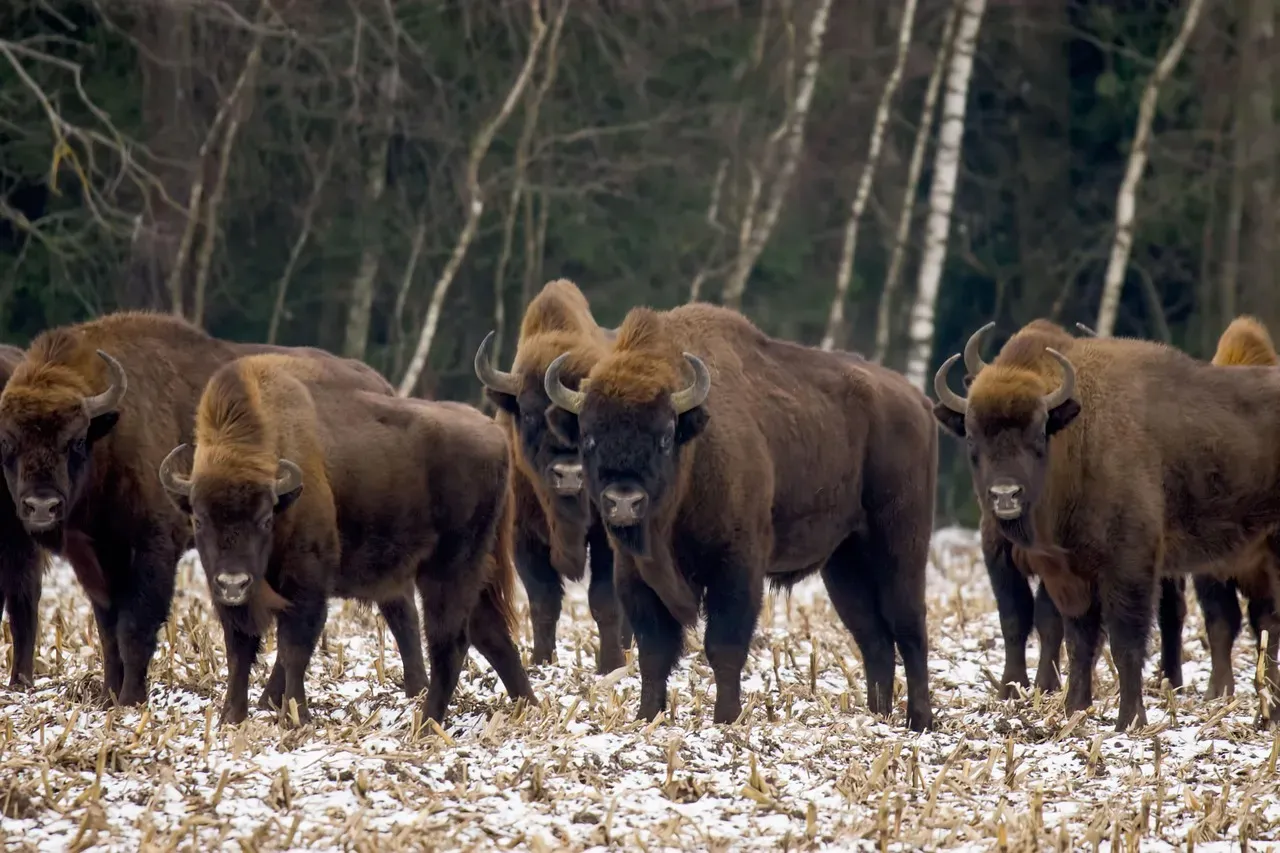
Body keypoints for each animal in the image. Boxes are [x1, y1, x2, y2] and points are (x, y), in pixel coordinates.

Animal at [159, 353, 534, 724]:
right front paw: (231, 718)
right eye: (199, 519)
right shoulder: (229, 596)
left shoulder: (307, 584)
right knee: (490, 633)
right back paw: (525, 705)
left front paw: (297, 717)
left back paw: (427, 724)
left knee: (450, 640)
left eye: (265, 519)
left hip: (449, 568)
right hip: (476, 569)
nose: (233, 583)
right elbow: (239, 650)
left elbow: (293, 649)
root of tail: (495, 434)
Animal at [474, 280, 630, 673]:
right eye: (529, 413)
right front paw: (541, 662)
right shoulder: (524, 538)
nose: (570, 474)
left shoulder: (606, 538)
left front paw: (610, 665)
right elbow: (543, 603)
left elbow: (604, 601)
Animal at [545, 304, 937, 730]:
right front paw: (647, 715)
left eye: (664, 436)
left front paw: (726, 719)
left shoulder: (737, 566)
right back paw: (877, 715)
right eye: (589, 436)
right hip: (844, 562)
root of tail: (917, 401)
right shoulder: (635, 574)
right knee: (873, 636)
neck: (694, 452)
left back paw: (920, 720)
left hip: (900, 545)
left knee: (909, 627)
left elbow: (724, 645)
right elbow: (653, 650)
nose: (623, 501)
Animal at [933, 319, 1280, 730]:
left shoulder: (1129, 567)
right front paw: (1074, 710)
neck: (1078, 438)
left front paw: (1130, 719)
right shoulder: (1070, 574)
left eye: (1038, 433)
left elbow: (1124, 642)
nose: (1005, 495)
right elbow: (1077, 640)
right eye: (972, 436)